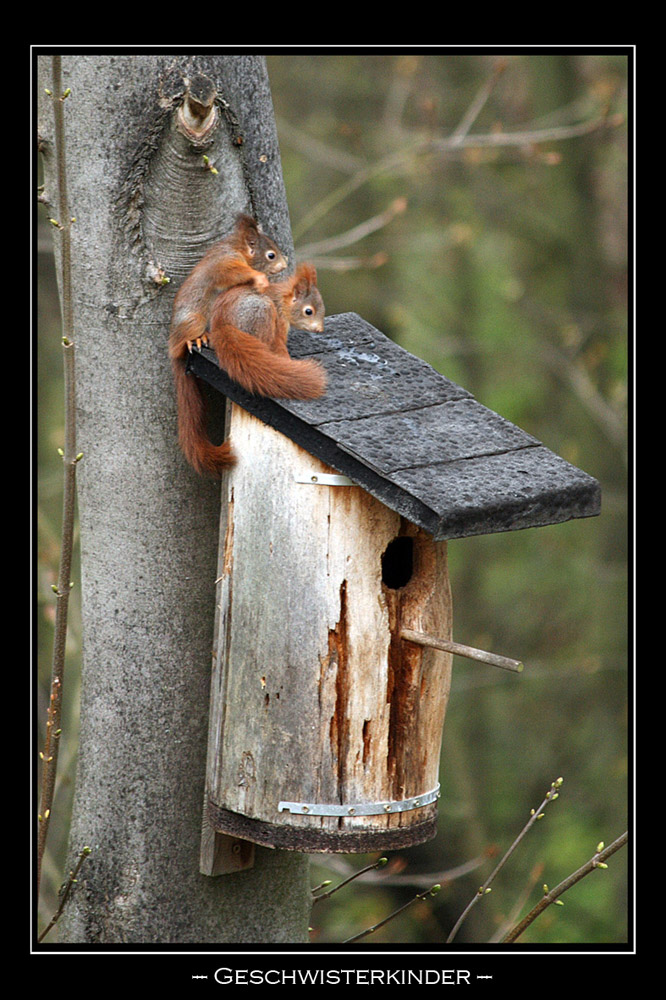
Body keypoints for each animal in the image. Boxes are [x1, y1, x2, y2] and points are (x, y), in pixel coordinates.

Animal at [169, 214, 326, 476]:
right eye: (308, 311)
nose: (320, 329)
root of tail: (222, 328)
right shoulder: (275, 317)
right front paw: (286, 360)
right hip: (234, 315)